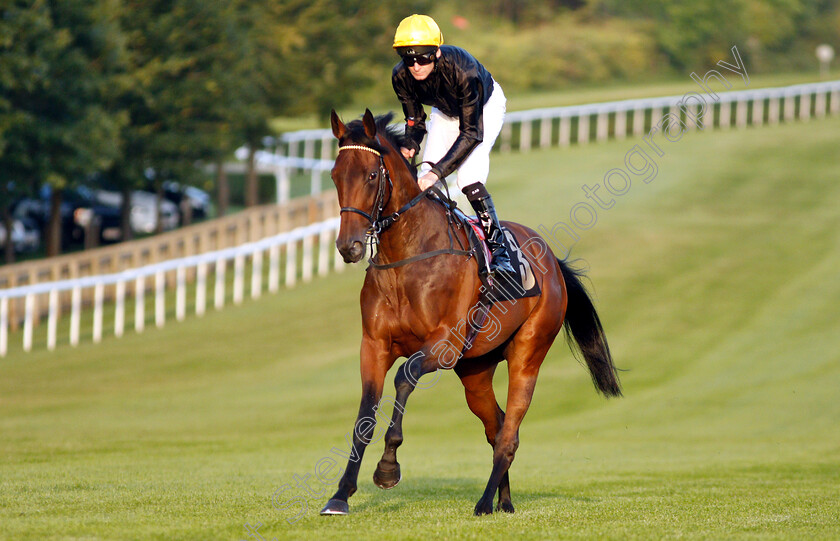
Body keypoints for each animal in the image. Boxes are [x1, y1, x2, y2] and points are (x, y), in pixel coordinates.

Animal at [318, 108, 620, 516]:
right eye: (336, 175)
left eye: (370, 175)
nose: (348, 246)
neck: (406, 257)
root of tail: (552, 262)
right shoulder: (374, 345)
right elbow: (365, 413)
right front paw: (340, 495)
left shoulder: (444, 345)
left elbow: (404, 377)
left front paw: (387, 468)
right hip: (476, 371)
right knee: (497, 427)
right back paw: (503, 501)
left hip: (529, 352)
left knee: (509, 434)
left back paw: (484, 502)